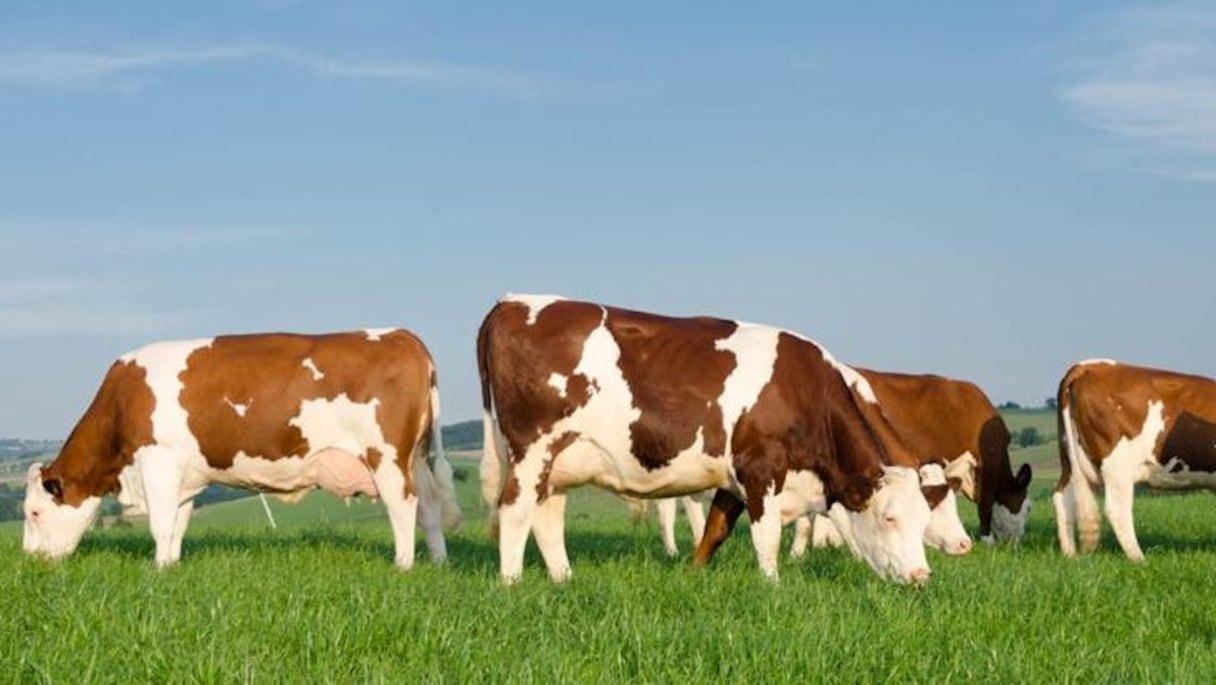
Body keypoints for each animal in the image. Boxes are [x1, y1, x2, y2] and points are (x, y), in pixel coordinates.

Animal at [23, 328, 459, 571]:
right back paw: (439, 563)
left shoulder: (158, 460)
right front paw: (170, 566)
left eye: (34, 512)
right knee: (430, 507)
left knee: (403, 506)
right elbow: (178, 523)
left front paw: (155, 568)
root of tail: (404, 336)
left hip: (387, 457)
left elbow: (161, 523)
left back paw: (403, 565)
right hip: (416, 457)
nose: (31, 561)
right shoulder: (185, 473)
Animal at [474, 293, 929, 584]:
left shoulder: (733, 477)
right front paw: (773, 587)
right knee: (515, 509)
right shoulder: (760, 467)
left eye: (924, 519)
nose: (922, 575)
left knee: (548, 516)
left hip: (560, 460)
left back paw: (563, 579)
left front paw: (693, 574)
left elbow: (715, 530)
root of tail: (510, 301)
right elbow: (766, 538)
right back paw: (512, 582)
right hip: (533, 448)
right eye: (890, 518)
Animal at [1050, 362, 1216, 559]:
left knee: (1063, 497)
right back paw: (1139, 558)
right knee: (1117, 510)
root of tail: (1088, 365)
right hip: (1117, 467)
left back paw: (1069, 554)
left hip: (1068, 456)